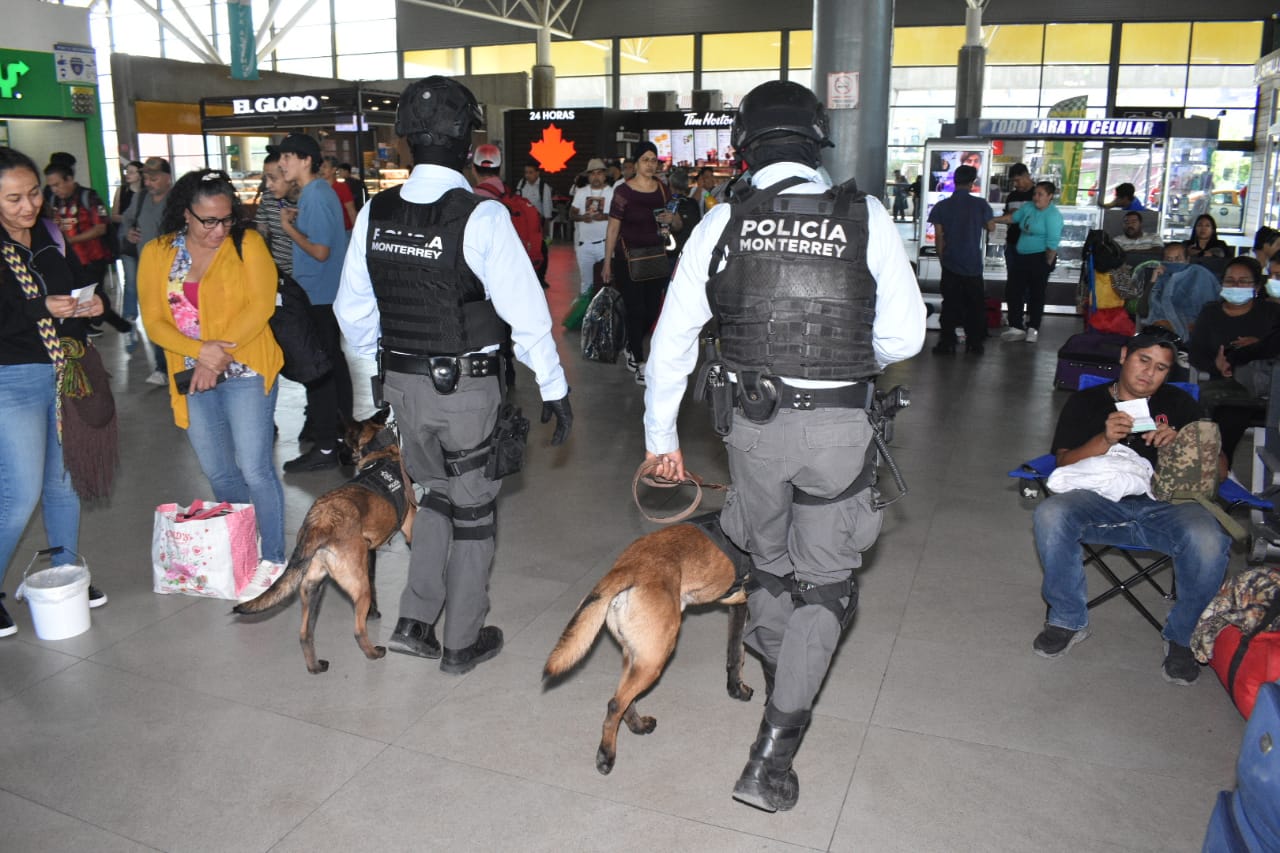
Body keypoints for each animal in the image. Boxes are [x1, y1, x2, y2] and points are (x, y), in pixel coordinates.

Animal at [234, 409, 414, 676]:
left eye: (344, 442)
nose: (339, 458)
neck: (380, 453)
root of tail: (320, 523)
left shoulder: (369, 554)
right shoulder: (409, 527)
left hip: (312, 588)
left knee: (305, 634)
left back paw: (315, 666)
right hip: (356, 587)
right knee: (358, 630)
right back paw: (373, 653)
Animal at [542, 514, 757, 773]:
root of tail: (628, 567)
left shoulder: (739, 607)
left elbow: (735, 654)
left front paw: (735, 689)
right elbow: (743, 656)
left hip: (637, 656)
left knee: (624, 700)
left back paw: (638, 726)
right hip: (654, 660)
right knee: (615, 704)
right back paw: (606, 756)